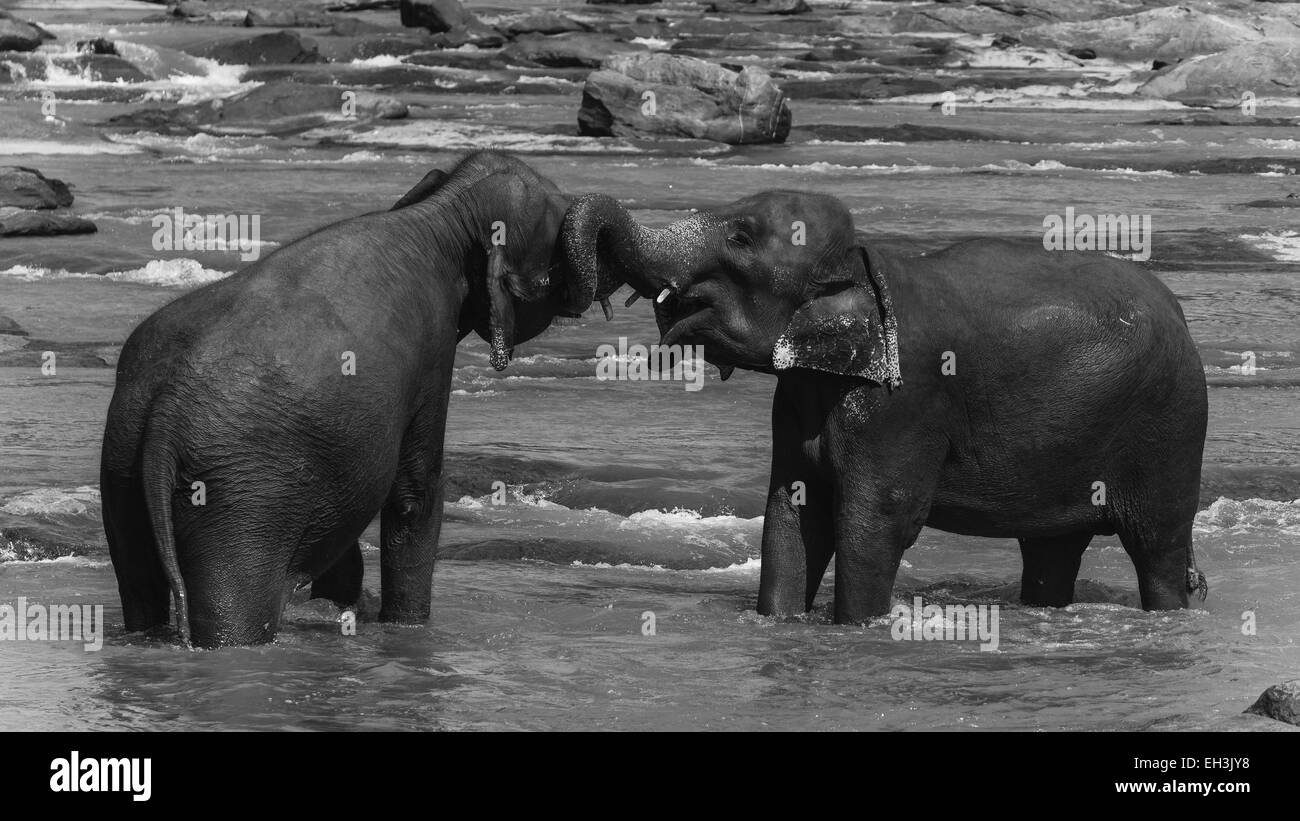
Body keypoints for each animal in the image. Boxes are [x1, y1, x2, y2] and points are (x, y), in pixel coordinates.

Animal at [98, 150, 616, 644]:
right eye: (557, 222)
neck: (441, 215)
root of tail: (165, 410)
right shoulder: (433, 353)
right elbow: (415, 493)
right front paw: (405, 627)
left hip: (124, 468)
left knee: (139, 584)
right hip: (239, 501)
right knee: (233, 609)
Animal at [564, 187, 1211, 620]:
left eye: (740, 238)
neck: (860, 265)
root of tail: (1180, 315)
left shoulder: (903, 403)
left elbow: (875, 519)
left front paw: (855, 627)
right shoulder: (799, 397)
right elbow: (792, 513)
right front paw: (779, 622)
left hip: (1171, 426)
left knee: (1157, 546)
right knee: (1051, 551)